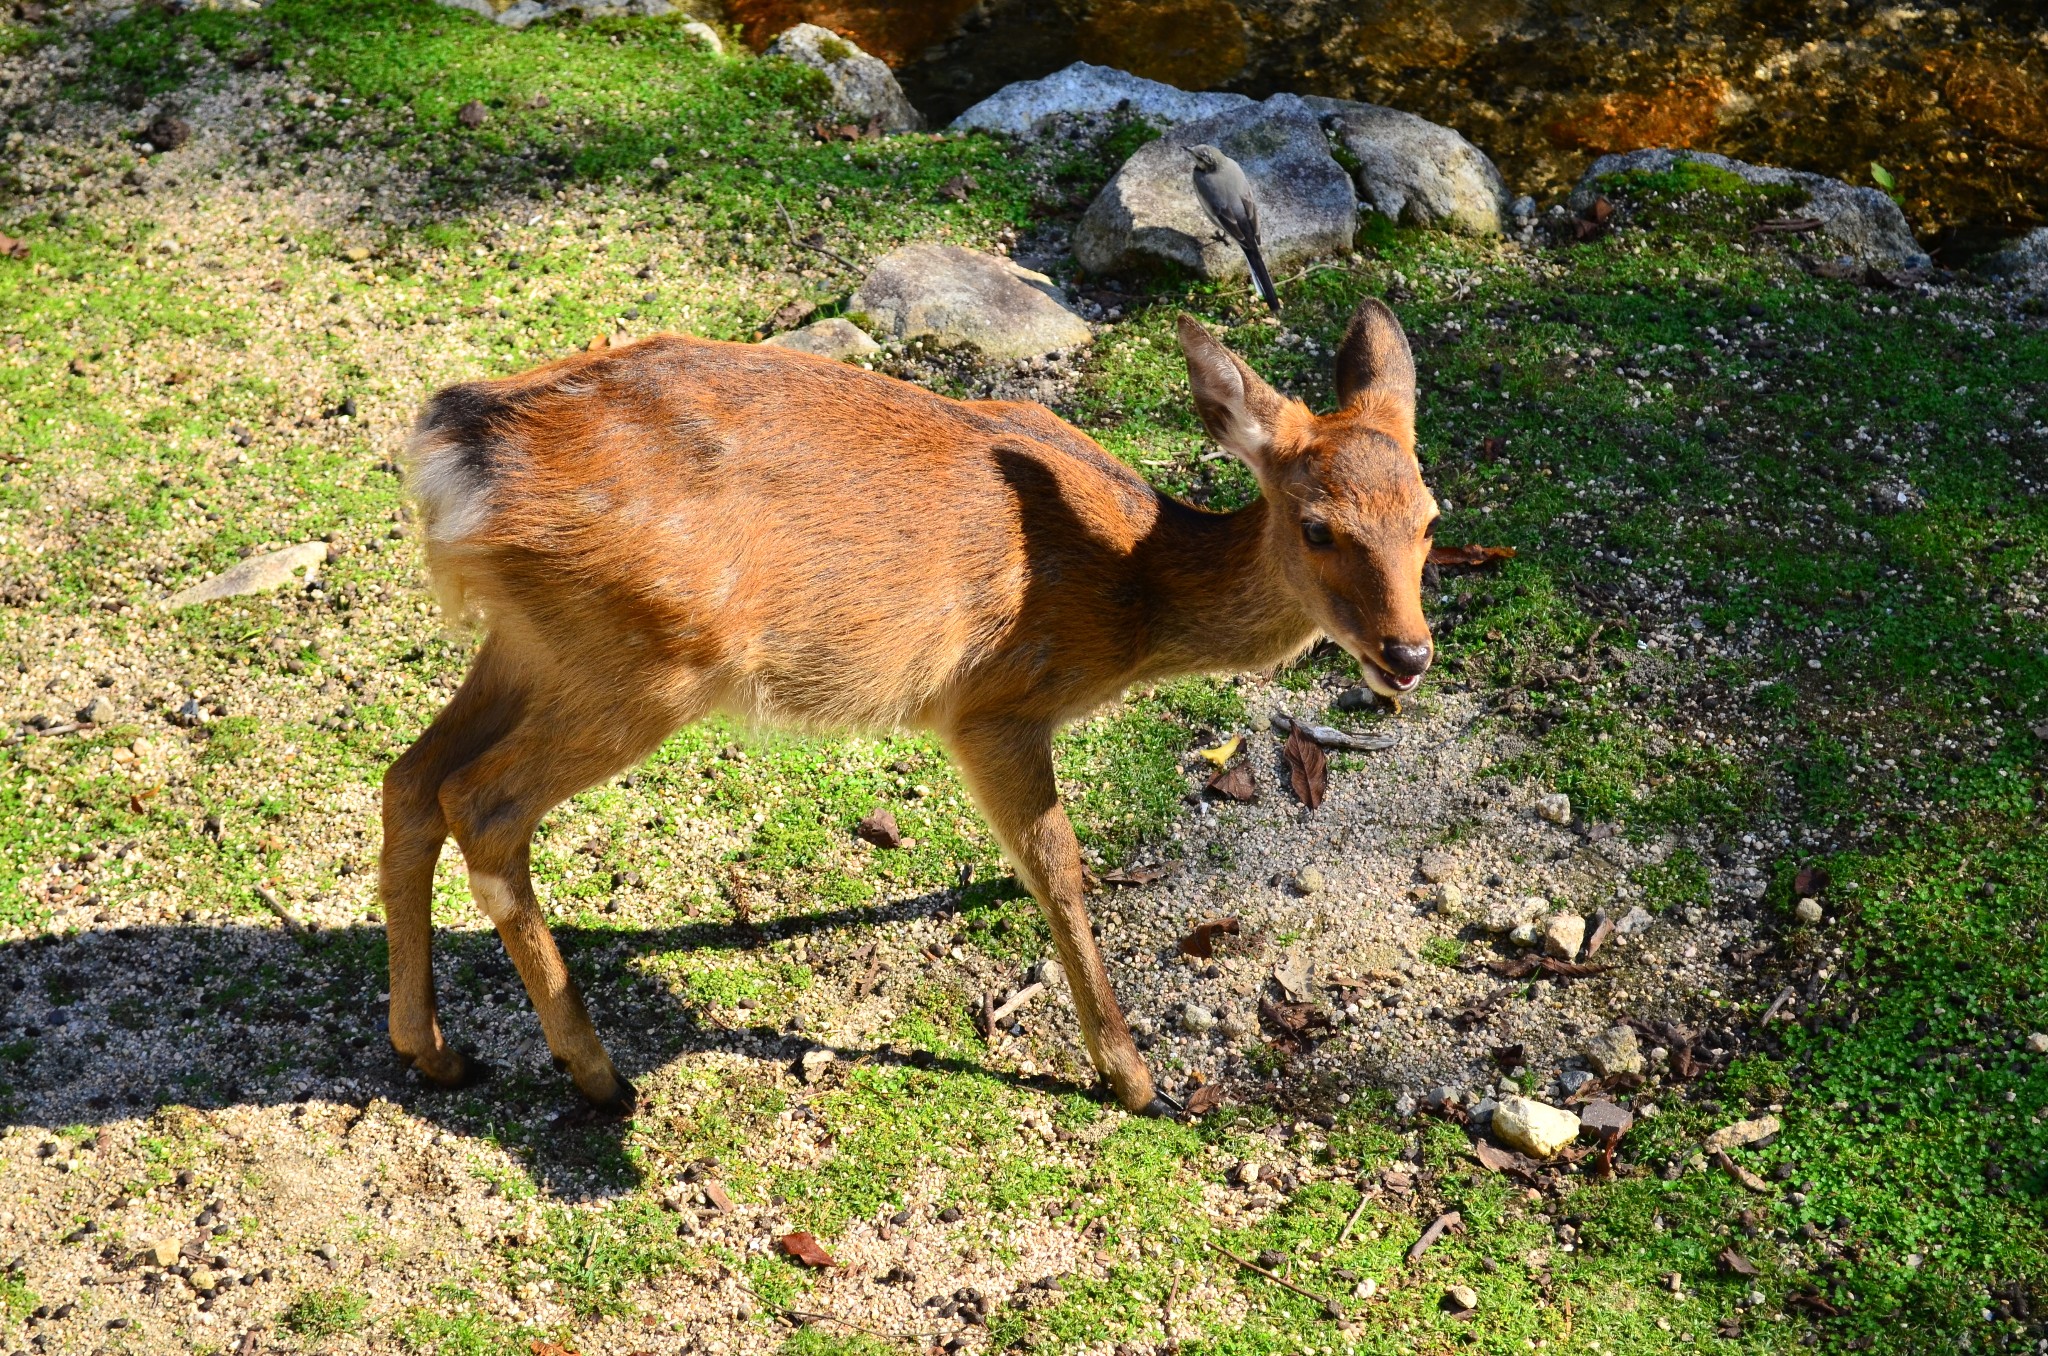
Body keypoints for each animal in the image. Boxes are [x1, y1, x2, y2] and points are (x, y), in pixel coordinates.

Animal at [385, 303, 1441, 1122]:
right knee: (481, 801)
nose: (1409, 655)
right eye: (1318, 527)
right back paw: (599, 1076)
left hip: (537, 643)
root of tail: (454, 457)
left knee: (409, 778)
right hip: (644, 661)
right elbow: (1058, 865)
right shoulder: (994, 704)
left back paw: (432, 1049)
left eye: (1431, 520)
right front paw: (1134, 1080)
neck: (1131, 591)